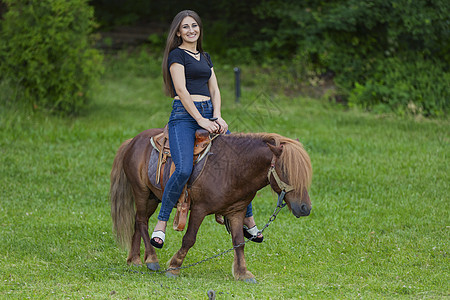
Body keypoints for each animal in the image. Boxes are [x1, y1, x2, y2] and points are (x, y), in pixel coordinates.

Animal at [110, 127, 312, 282]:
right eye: (286, 170)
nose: (305, 208)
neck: (231, 169)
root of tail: (133, 140)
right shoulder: (199, 209)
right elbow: (189, 239)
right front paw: (174, 266)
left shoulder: (236, 211)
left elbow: (239, 241)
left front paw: (242, 272)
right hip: (141, 192)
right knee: (142, 221)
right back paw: (152, 258)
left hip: (154, 197)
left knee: (139, 220)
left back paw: (135, 259)